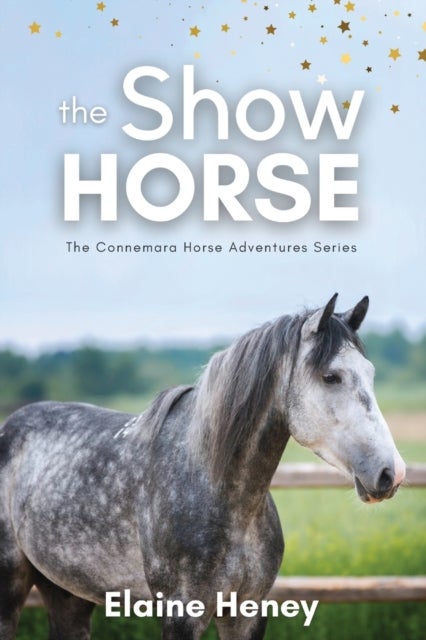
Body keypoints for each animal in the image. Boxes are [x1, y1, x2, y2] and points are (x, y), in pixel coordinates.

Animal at [0, 294, 406, 640]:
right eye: (331, 376)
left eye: (370, 374)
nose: (391, 473)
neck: (217, 489)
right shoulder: (182, 614)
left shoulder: (246, 612)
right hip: (11, 586)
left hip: (67, 593)